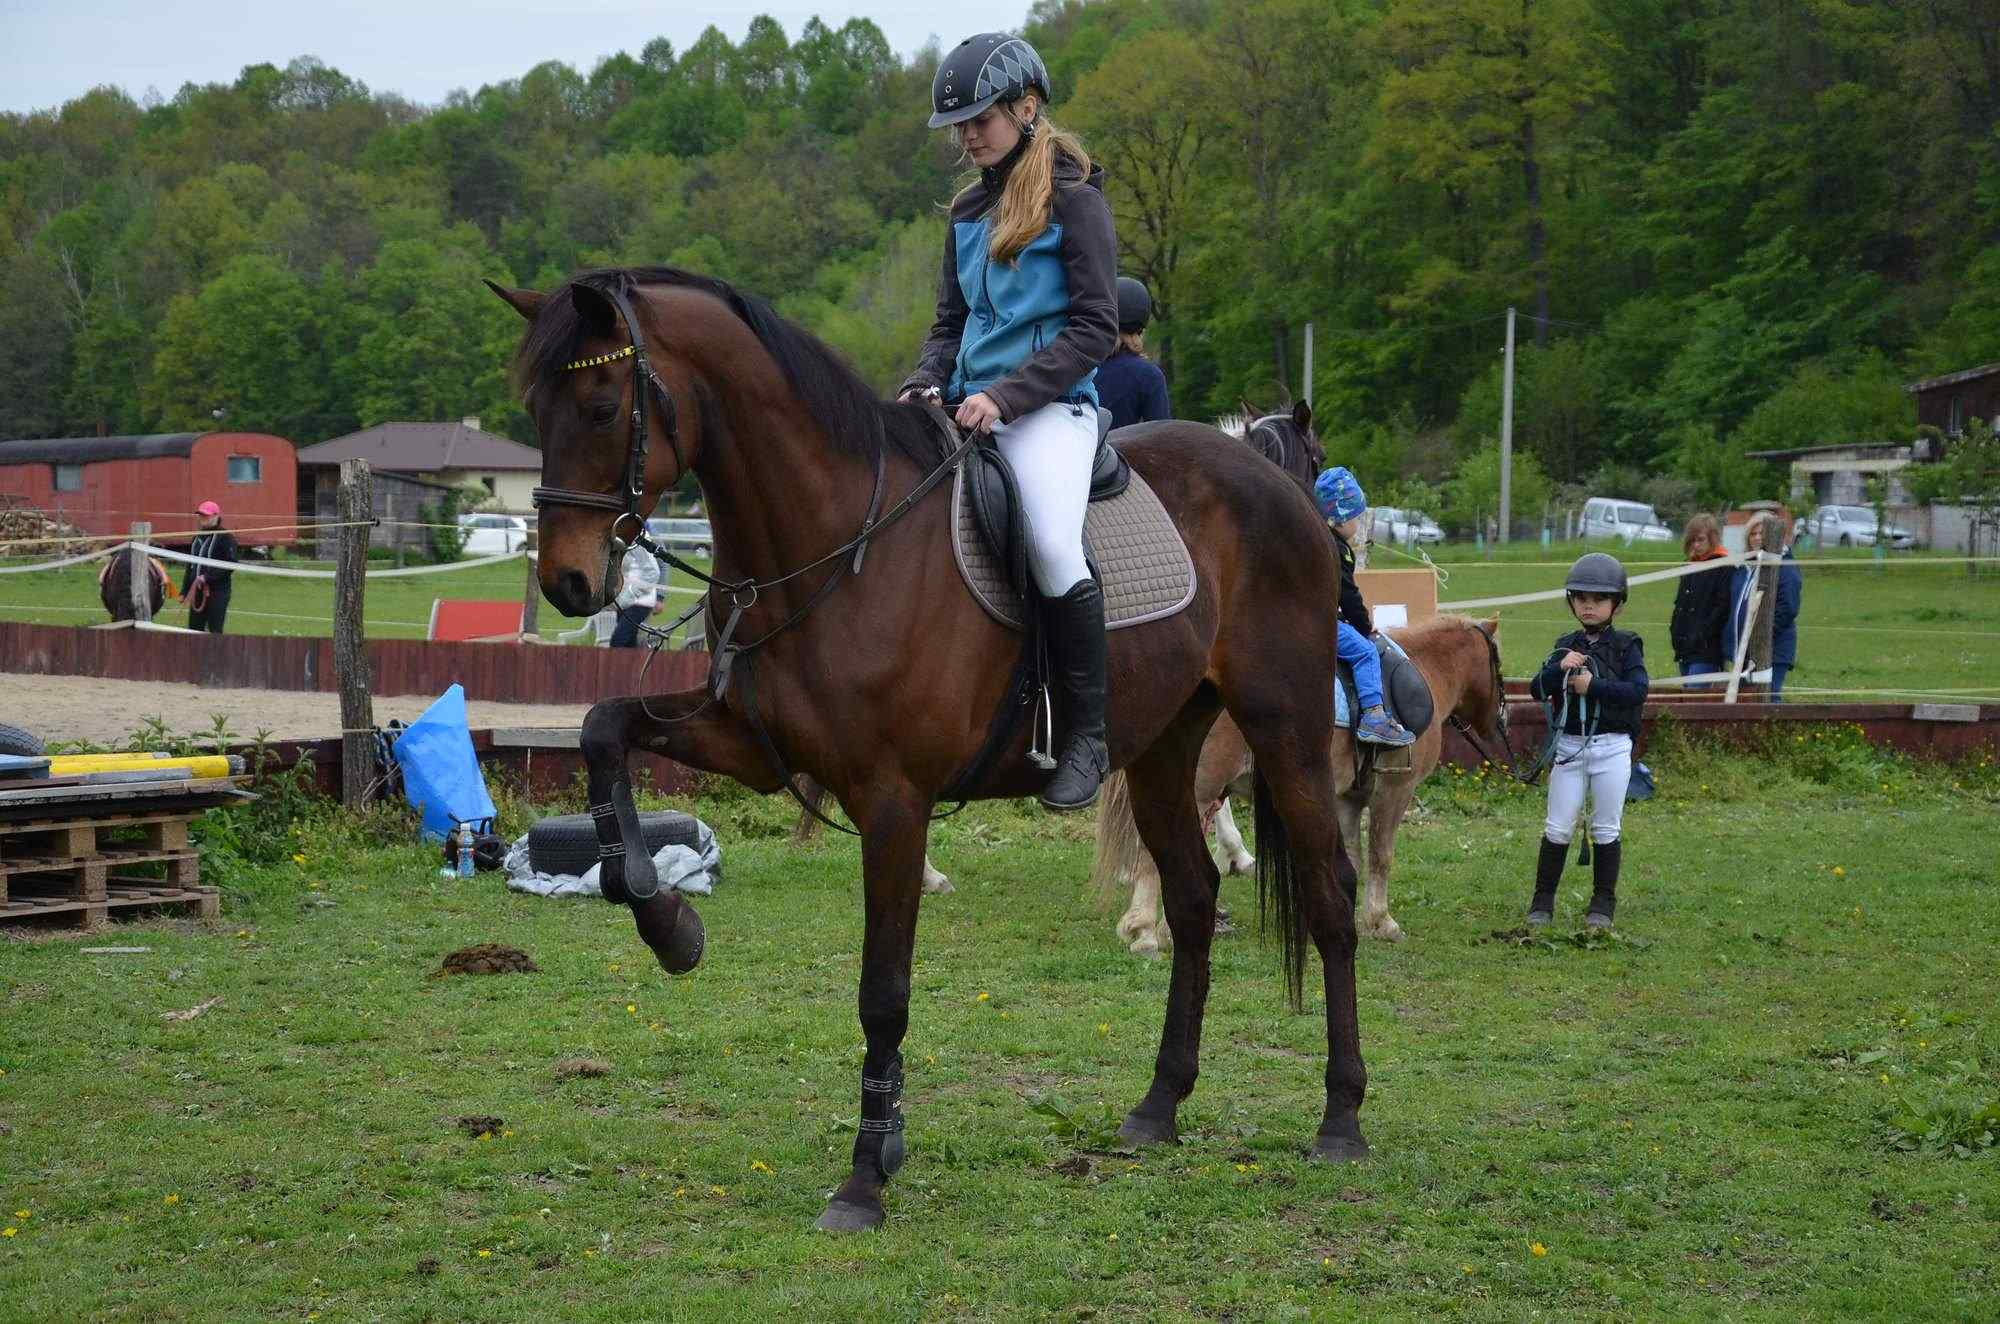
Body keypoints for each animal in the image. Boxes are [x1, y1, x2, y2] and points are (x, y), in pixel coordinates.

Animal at [490, 268, 1376, 1232]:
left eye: (602, 406)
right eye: (536, 409)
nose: (568, 582)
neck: (837, 544)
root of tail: (1278, 491)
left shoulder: (893, 801)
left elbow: (884, 993)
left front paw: (866, 1176)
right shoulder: (749, 746)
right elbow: (602, 729)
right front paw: (666, 921)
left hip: (1284, 730)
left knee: (1329, 899)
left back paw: (1340, 1119)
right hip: (1162, 753)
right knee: (1191, 897)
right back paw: (1160, 1104)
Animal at [1104, 616, 1504, 956]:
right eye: (1499, 669)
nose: (1499, 723)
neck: (1424, 670)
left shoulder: (1347, 798)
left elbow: (1352, 858)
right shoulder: (1394, 791)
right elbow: (1381, 856)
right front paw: (1382, 921)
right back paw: (1147, 931)